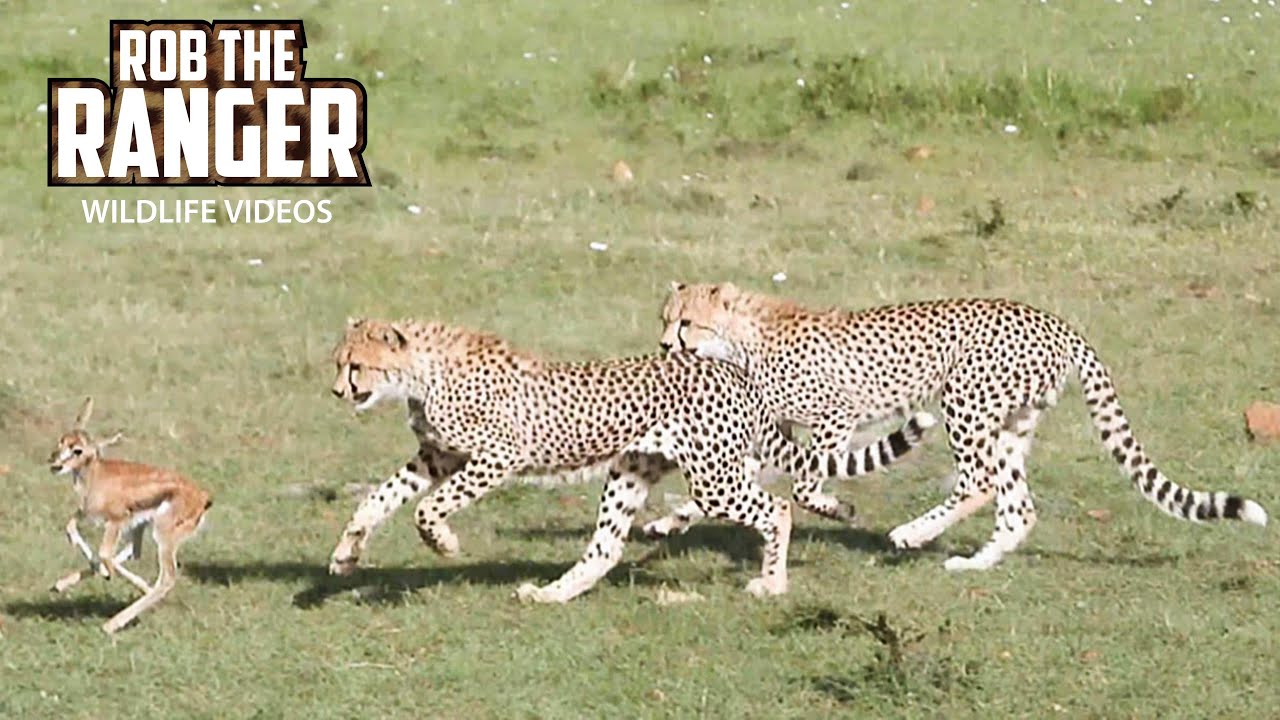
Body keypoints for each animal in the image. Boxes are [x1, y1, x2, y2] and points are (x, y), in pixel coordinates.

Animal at [325, 317, 936, 602]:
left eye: (356, 365)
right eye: (339, 362)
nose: (336, 392)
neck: (421, 372)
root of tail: (733, 372)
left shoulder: (497, 456)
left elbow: (427, 509)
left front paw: (445, 543)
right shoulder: (437, 456)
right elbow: (377, 500)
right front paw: (345, 555)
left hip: (713, 479)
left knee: (777, 509)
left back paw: (771, 584)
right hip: (629, 471)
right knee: (605, 547)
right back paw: (553, 594)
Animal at [657, 281, 1268, 572]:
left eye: (685, 323)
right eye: (664, 319)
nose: (663, 347)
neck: (747, 335)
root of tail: (1057, 322)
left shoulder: (837, 415)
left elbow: (806, 487)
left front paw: (841, 509)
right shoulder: (773, 430)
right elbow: (729, 484)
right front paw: (670, 520)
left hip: (965, 402)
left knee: (978, 484)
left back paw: (913, 533)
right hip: (1010, 424)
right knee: (1017, 506)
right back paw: (974, 564)